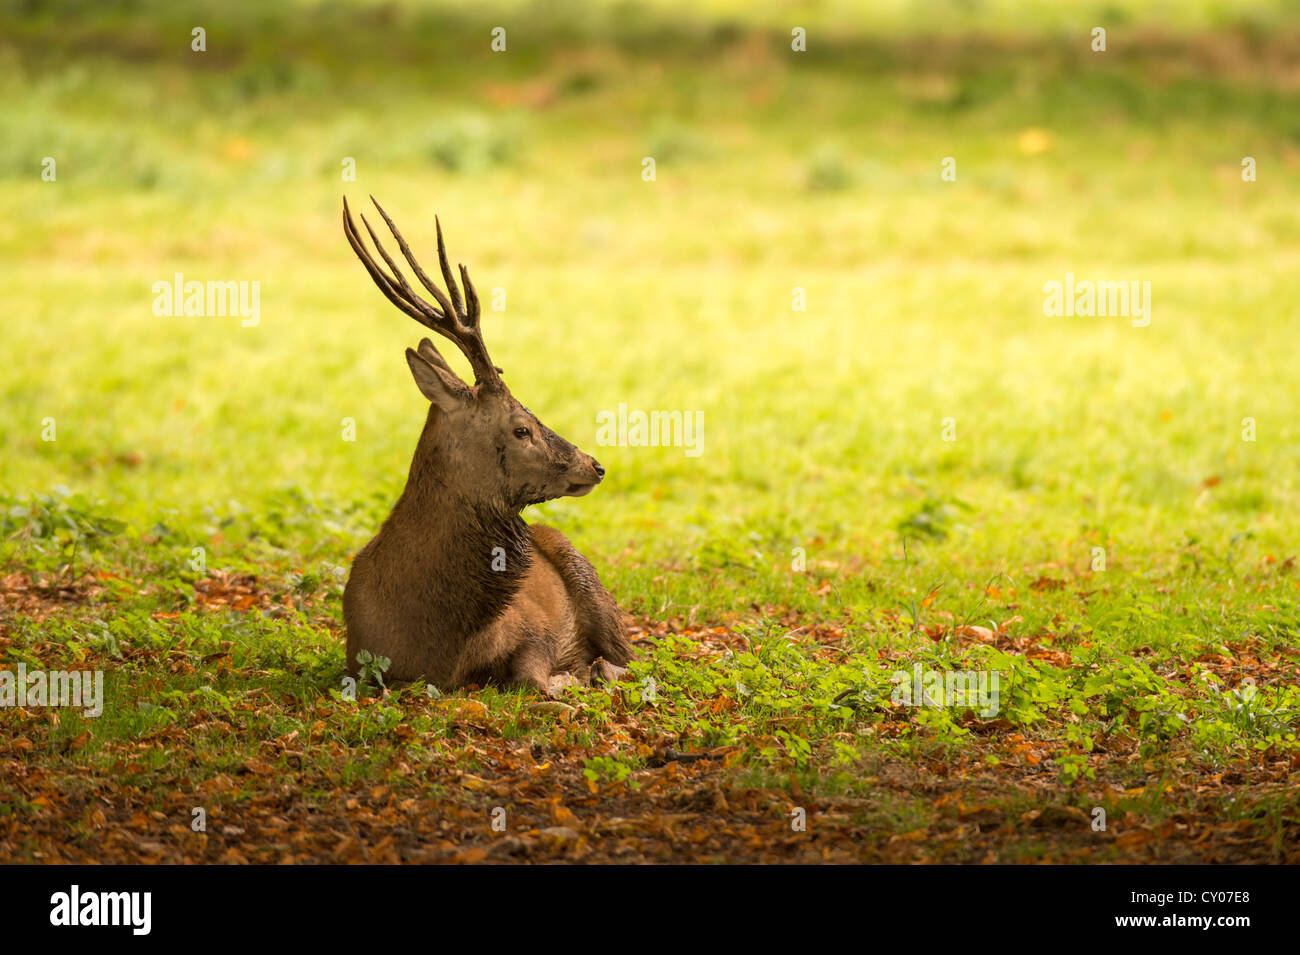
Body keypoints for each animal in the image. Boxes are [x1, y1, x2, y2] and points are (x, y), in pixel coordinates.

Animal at [343, 197, 631, 696]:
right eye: (521, 429)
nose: (595, 465)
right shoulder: (357, 658)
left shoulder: (536, 628)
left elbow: (535, 677)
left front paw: (572, 676)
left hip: (588, 578)